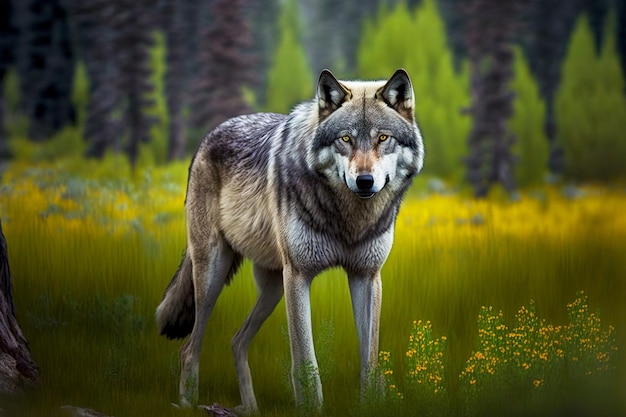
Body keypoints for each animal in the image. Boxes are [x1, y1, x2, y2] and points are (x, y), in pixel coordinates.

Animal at [155, 69, 424, 412]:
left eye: (383, 138)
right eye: (345, 139)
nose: (364, 181)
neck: (349, 221)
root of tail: (208, 135)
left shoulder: (367, 276)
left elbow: (370, 363)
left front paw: (370, 405)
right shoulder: (298, 276)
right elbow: (306, 363)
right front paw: (311, 408)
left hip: (272, 288)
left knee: (236, 341)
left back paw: (250, 409)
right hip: (215, 277)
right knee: (189, 348)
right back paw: (189, 404)